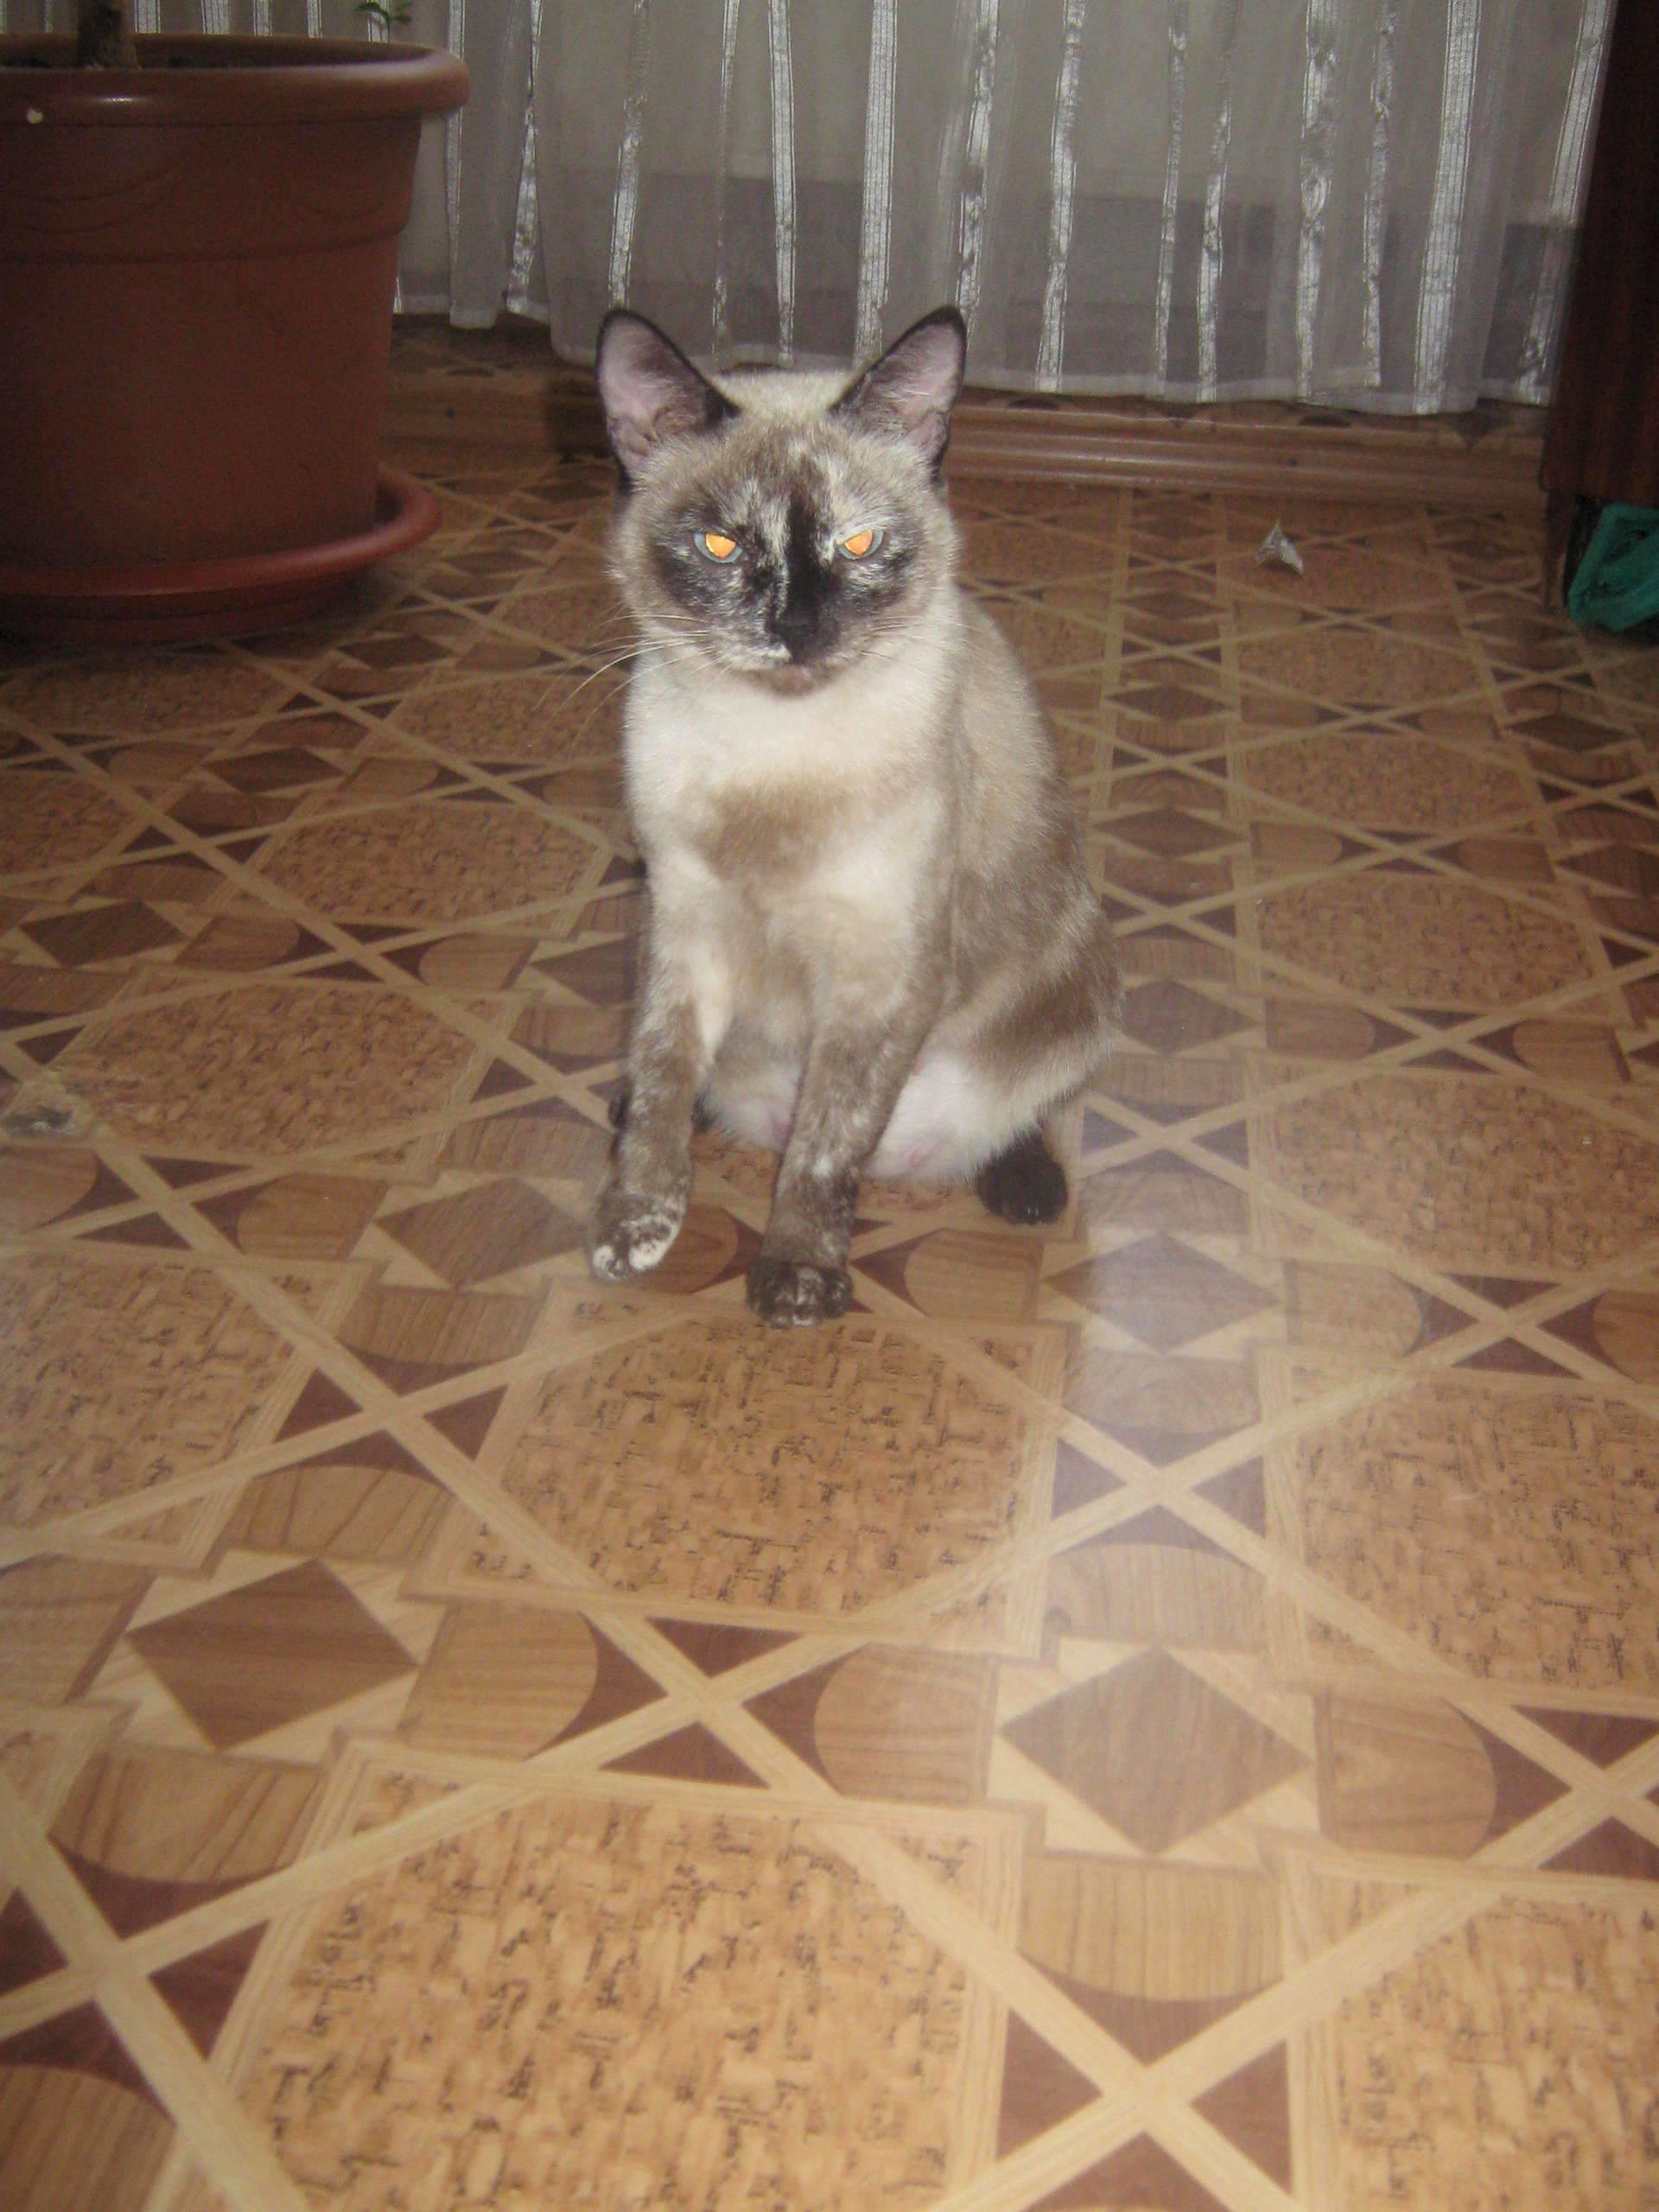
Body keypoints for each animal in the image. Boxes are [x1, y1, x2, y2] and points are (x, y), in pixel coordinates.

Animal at [587, 305, 1119, 1326]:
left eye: (861, 546)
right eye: (723, 548)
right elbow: (666, 1081)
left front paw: (797, 1280)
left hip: (1077, 972)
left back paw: (1023, 1187)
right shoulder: (685, 929)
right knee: (674, 1089)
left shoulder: (883, 973)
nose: (798, 629)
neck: (772, 749)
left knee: (1027, 1111)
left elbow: (825, 1150)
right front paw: (633, 1230)